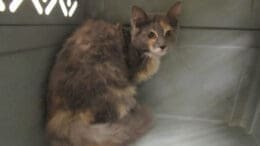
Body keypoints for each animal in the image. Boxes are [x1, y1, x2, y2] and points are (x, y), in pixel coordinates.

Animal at [46, 1, 181, 146]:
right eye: (151, 35)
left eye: (168, 33)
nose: (162, 46)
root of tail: (62, 113)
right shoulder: (130, 75)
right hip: (116, 89)